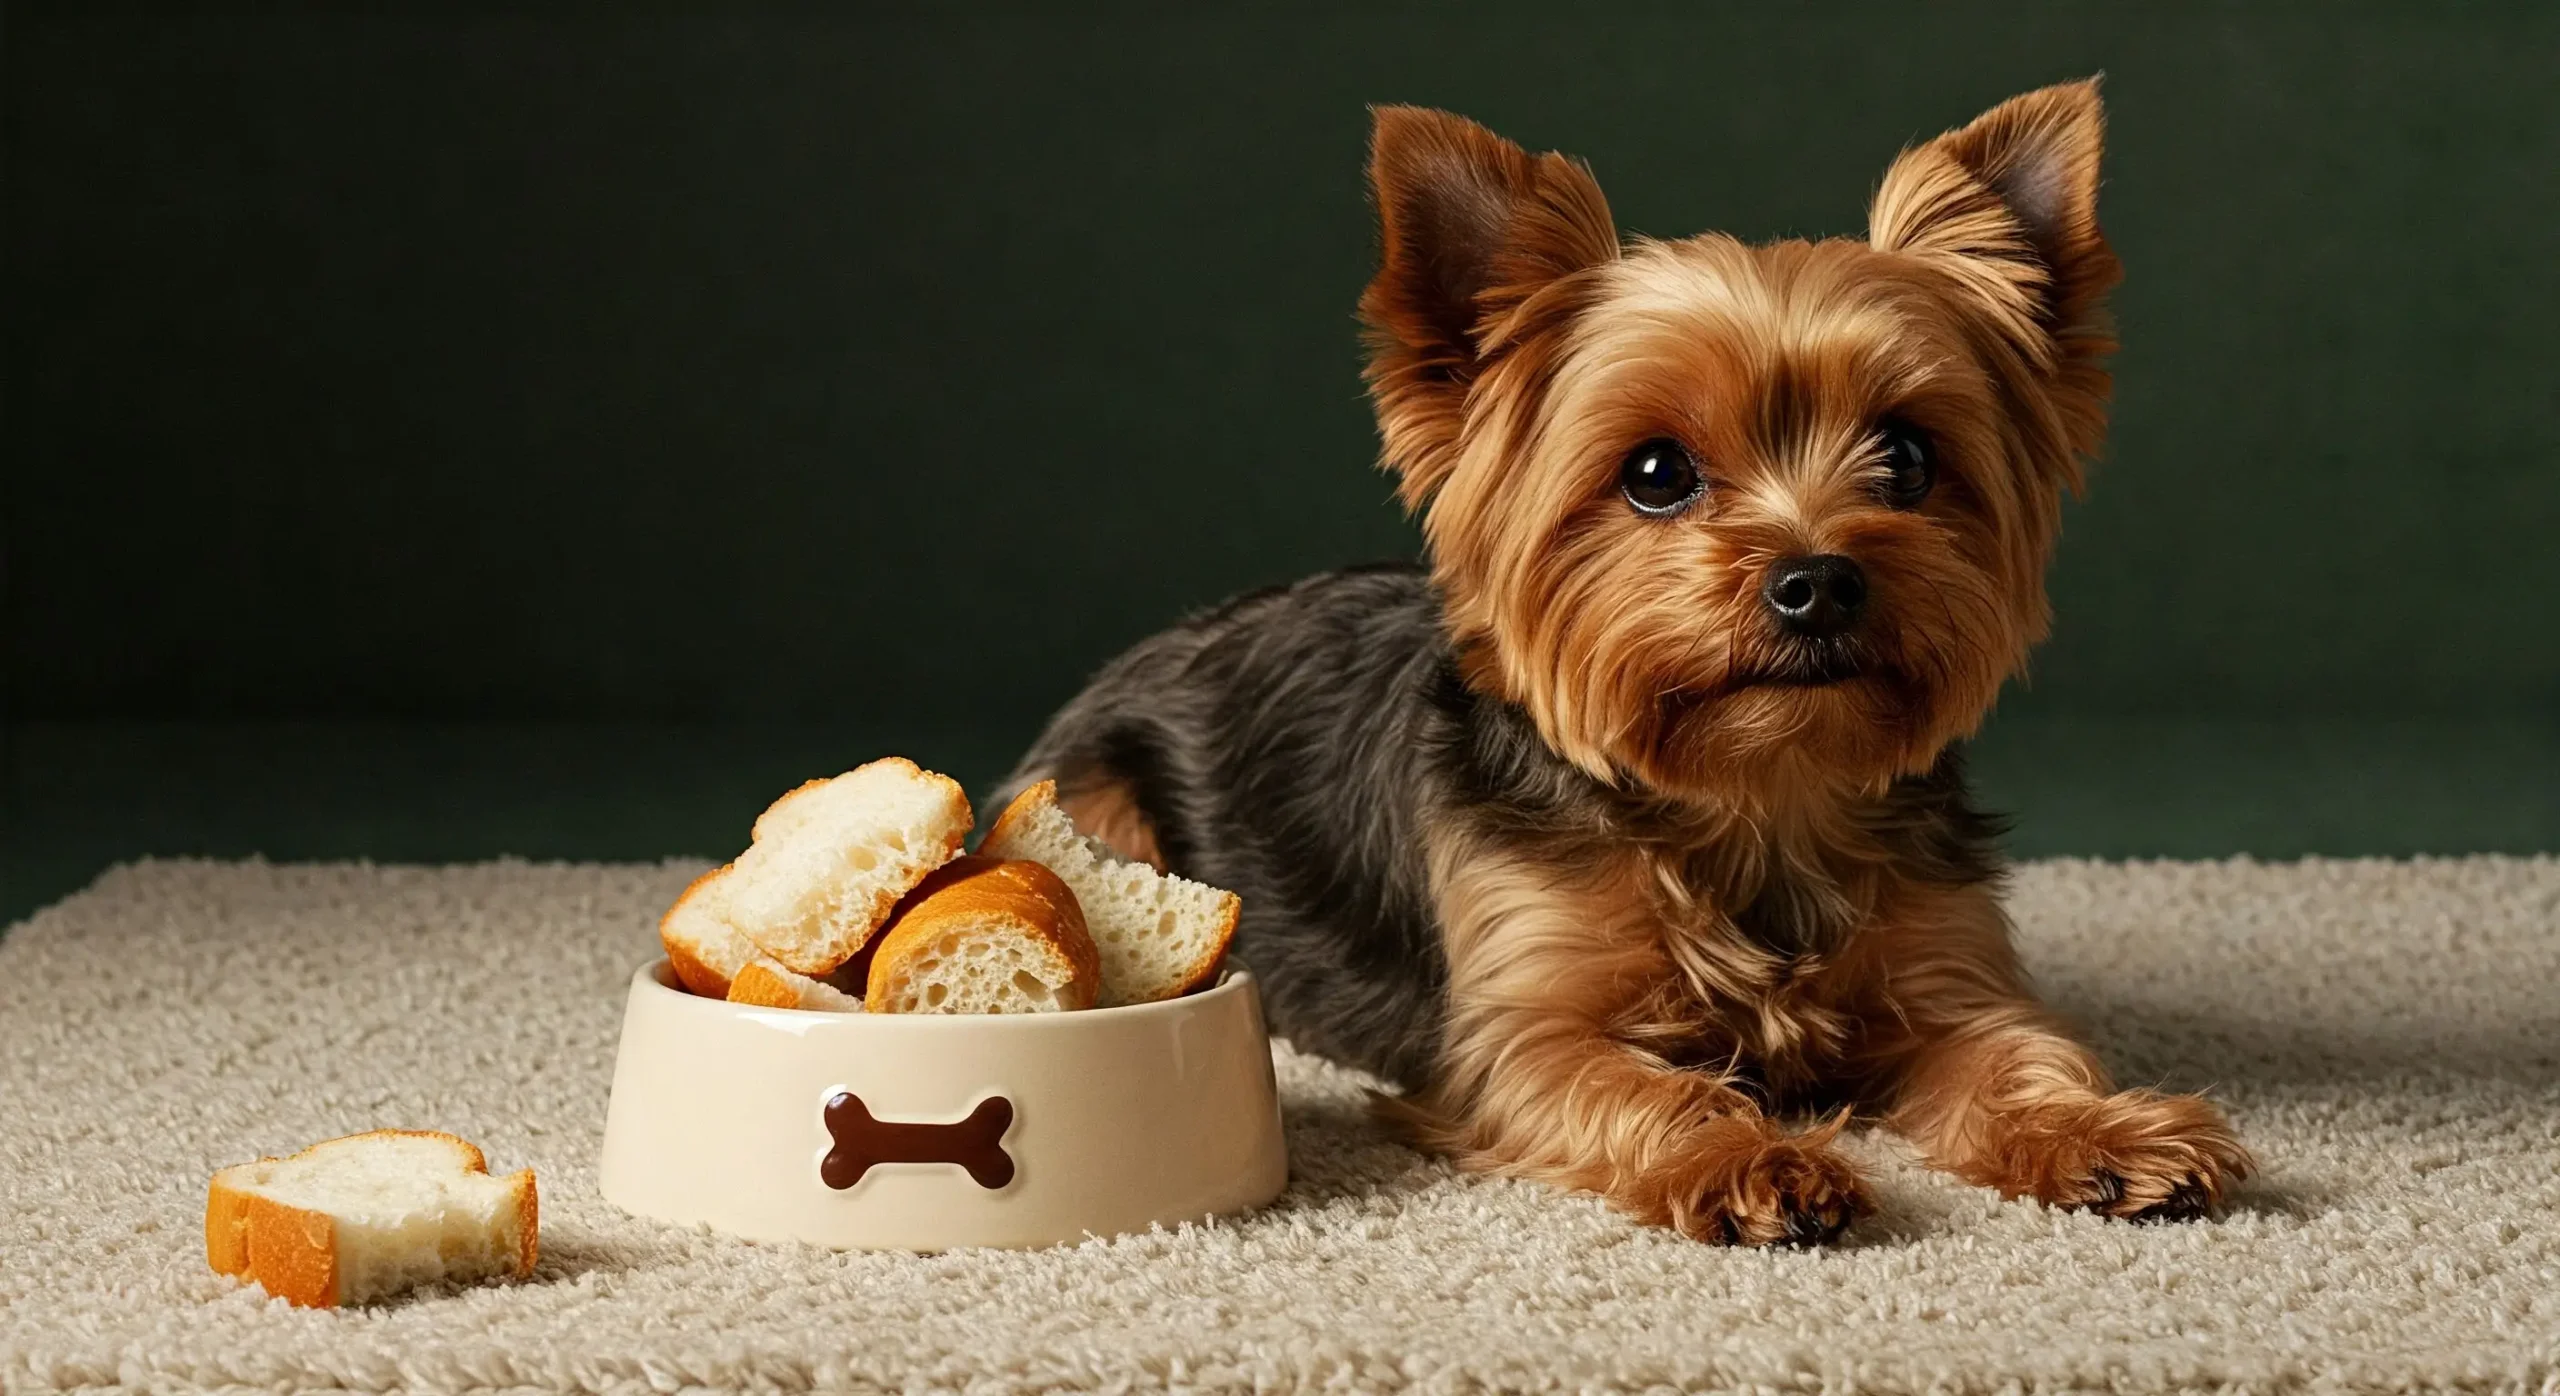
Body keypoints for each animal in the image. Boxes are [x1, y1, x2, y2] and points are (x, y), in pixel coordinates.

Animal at [998, 81, 2242, 1244]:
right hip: (1104, 809)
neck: (1755, 795)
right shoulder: (1524, 1032)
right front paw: (1753, 1161)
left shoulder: (1949, 979)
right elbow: (1648, 1089)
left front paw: (2103, 1132)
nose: (1820, 578)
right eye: (1654, 472)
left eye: (1906, 456)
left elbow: (2019, 1051)